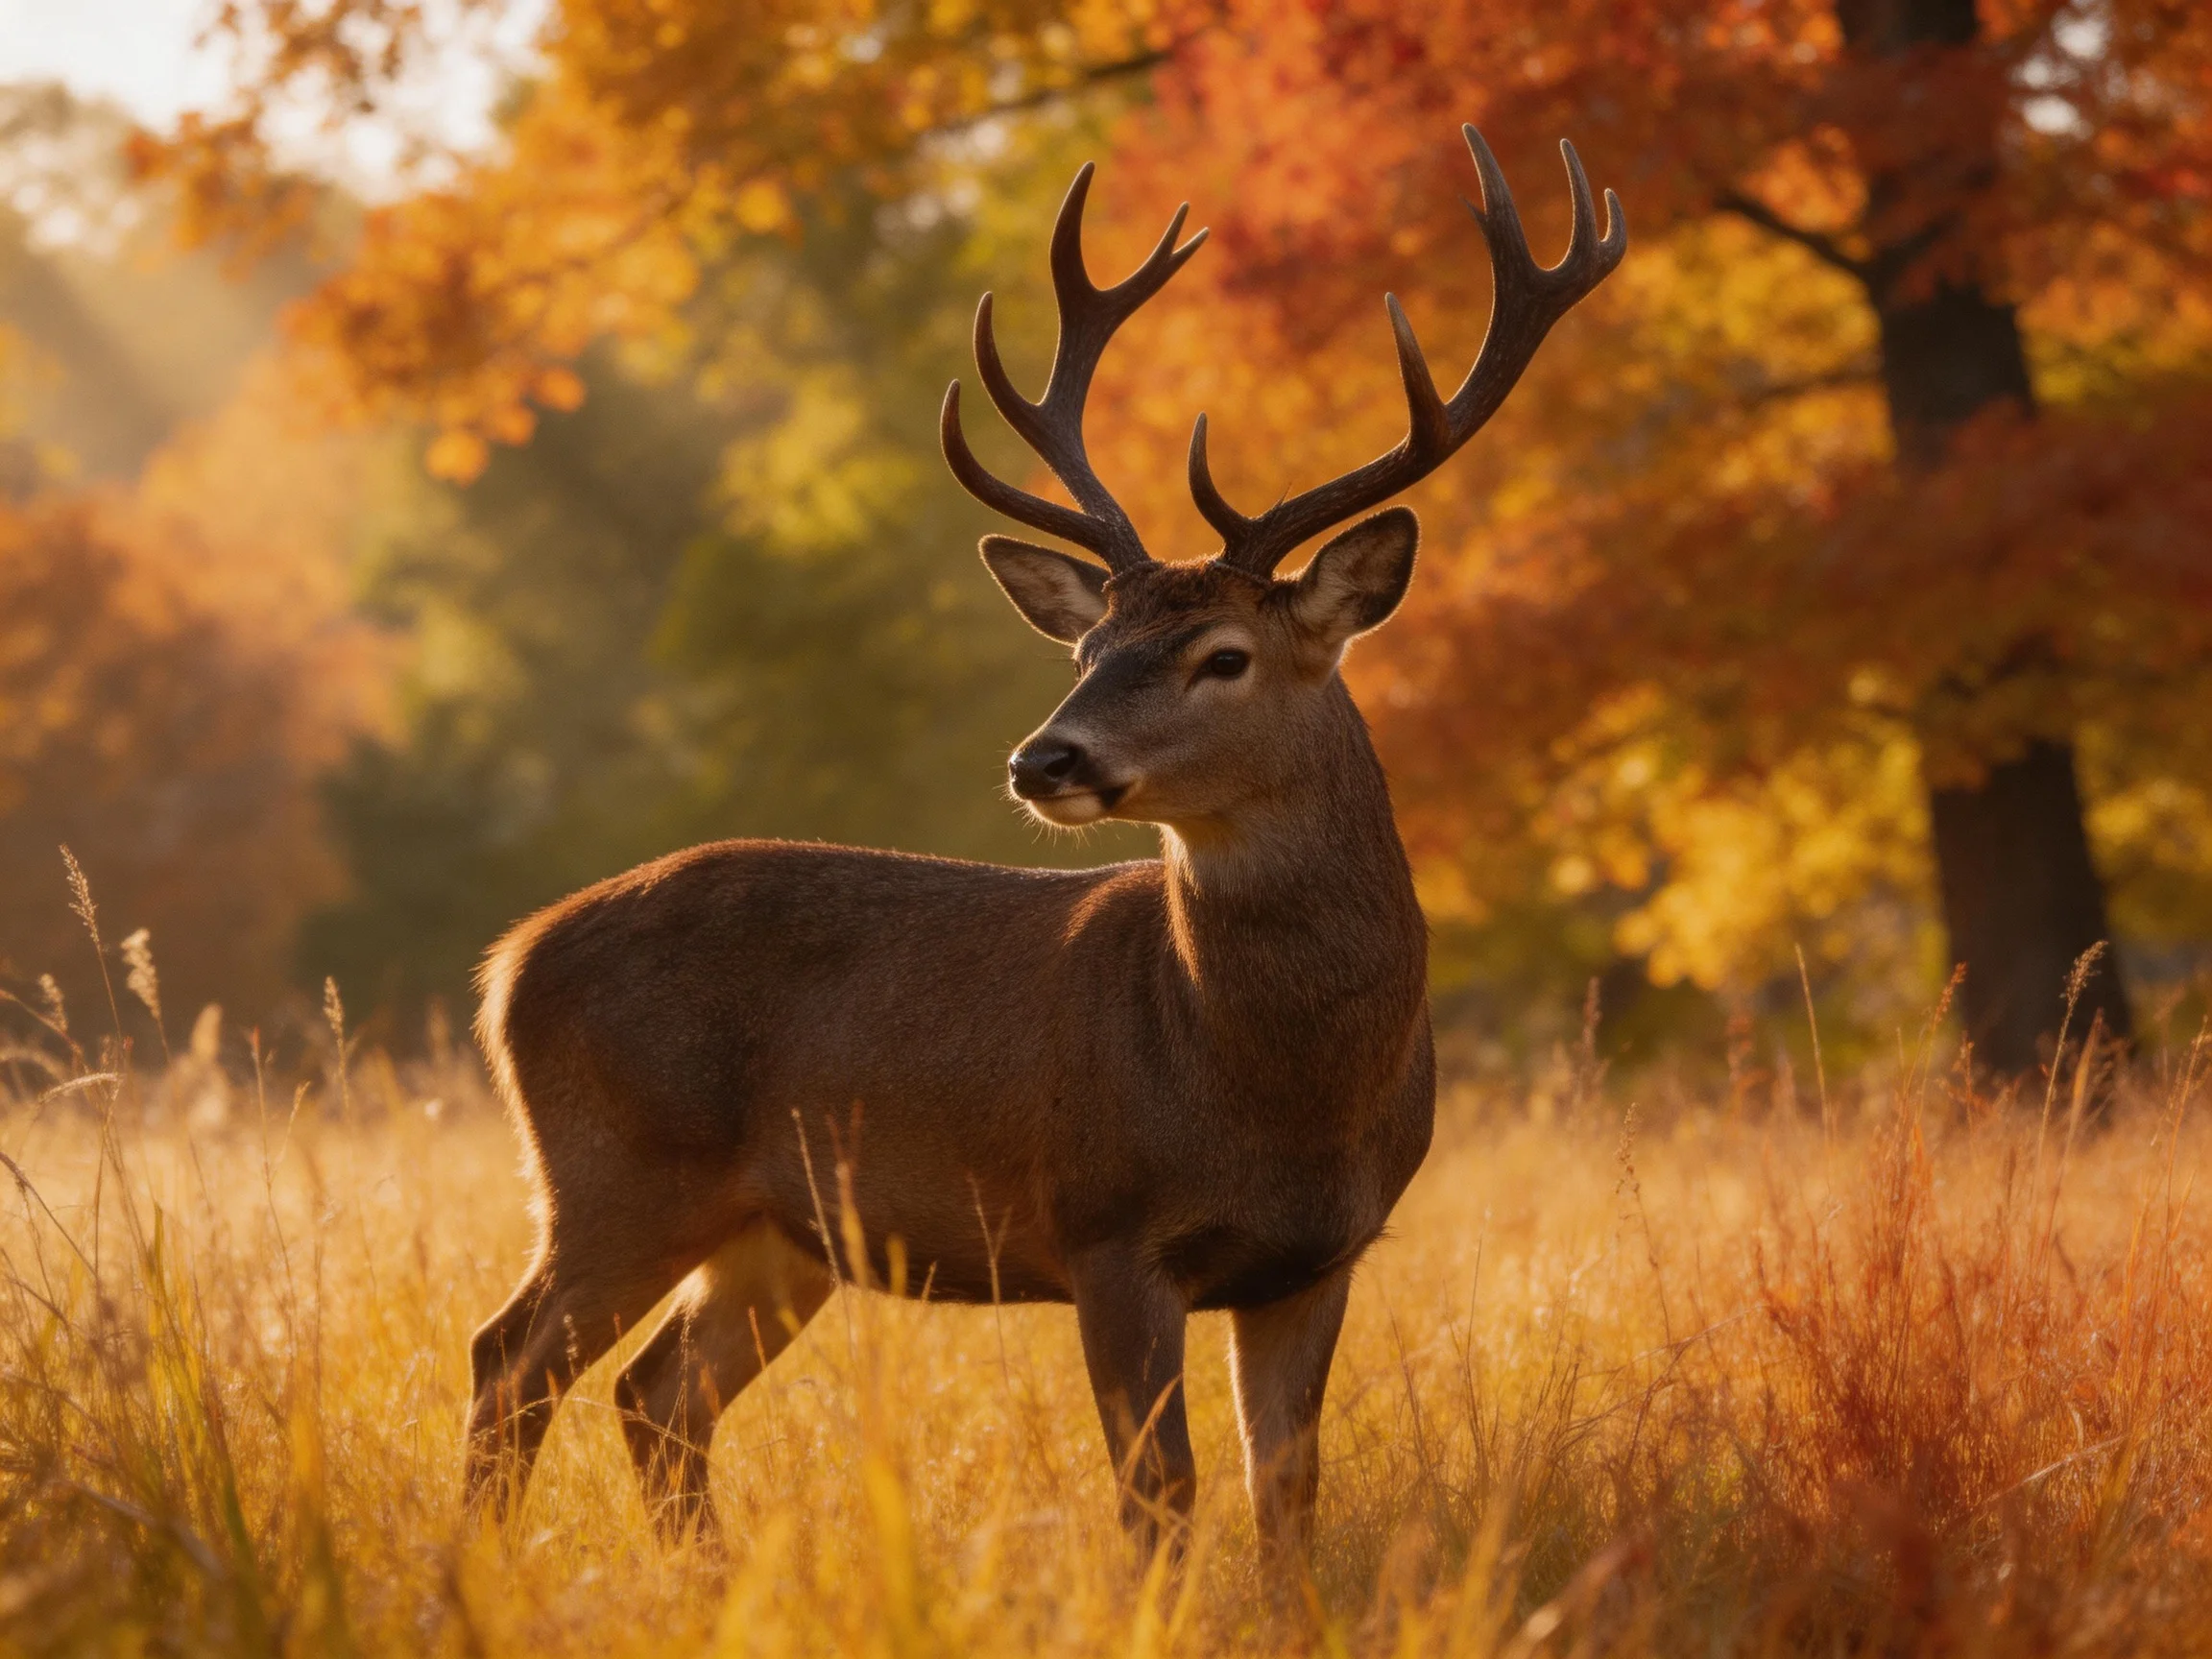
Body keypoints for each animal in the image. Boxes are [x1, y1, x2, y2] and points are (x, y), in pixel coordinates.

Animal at [463, 124, 1624, 1561]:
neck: (1273, 1082)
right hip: (618, 1169)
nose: (1044, 759)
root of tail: (508, 963)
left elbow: (1284, 1492)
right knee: (510, 1362)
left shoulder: (1320, 1256)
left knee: (653, 1393)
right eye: (1086, 649)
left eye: (1223, 655)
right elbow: (1159, 1492)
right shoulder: (1107, 1228)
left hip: (779, 1228)